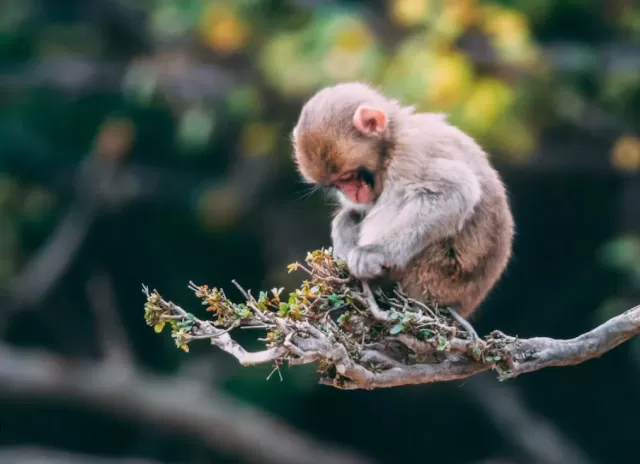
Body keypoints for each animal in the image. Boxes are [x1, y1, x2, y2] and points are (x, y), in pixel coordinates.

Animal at [290, 81, 516, 318]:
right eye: (337, 184)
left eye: (348, 176)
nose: (351, 194)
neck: (392, 138)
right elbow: (357, 211)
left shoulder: (410, 155)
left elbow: (455, 191)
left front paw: (375, 252)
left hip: (435, 275)